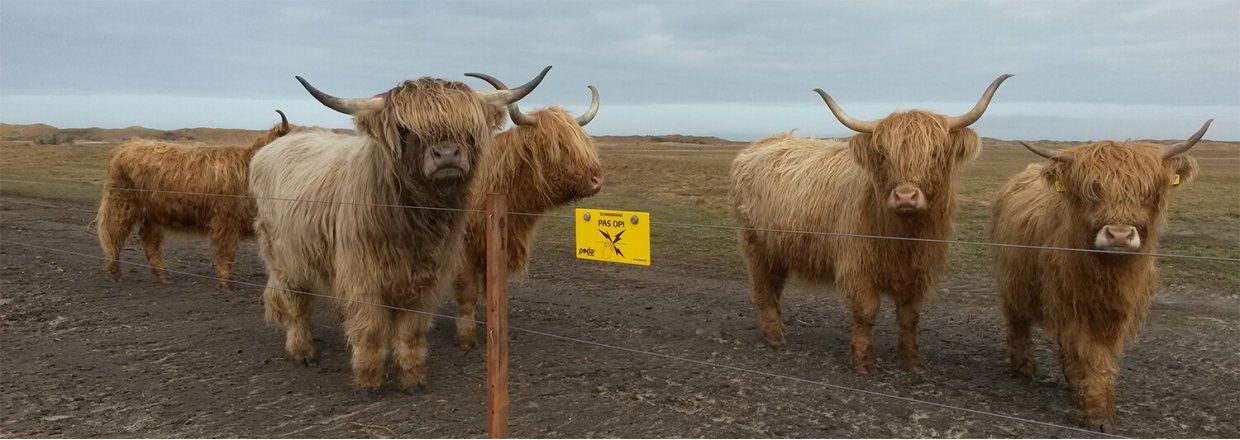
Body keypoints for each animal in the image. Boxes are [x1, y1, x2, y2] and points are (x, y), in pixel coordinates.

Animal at [95, 109, 291, 292]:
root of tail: (125, 147)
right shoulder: (225, 221)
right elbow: (226, 252)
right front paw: (226, 286)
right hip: (121, 204)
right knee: (113, 235)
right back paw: (114, 274)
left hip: (154, 213)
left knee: (149, 240)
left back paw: (163, 276)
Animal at [246, 66, 548, 399]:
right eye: (405, 128)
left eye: (468, 125)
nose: (447, 155)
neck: (415, 221)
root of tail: (273, 147)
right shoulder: (363, 277)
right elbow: (370, 331)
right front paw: (367, 383)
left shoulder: (427, 278)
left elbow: (411, 331)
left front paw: (412, 379)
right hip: (284, 256)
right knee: (296, 302)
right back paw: (301, 351)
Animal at [456, 70, 610, 349]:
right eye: (557, 145)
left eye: (584, 143)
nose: (596, 180)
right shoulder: (464, 248)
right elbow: (468, 291)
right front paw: (467, 337)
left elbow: (491, 287)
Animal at [729, 74, 1011, 376]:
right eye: (884, 155)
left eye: (935, 153)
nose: (906, 196)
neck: (903, 236)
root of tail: (761, 143)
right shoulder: (857, 265)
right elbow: (866, 311)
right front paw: (863, 361)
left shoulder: (918, 269)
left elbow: (909, 317)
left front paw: (912, 361)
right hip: (755, 243)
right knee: (763, 287)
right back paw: (774, 336)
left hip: (778, 246)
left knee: (775, 286)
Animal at [996, 118, 1210, 433]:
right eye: (1092, 191)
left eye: (1147, 192)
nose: (1119, 235)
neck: (1107, 273)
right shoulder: (1071, 305)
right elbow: (1089, 353)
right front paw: (1096, 414)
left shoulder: (1117, 309)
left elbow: (1101, 355)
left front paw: (1095, 401)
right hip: (1013, 283)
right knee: (1018, 323)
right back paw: (1024, 369)